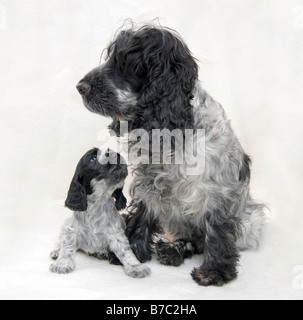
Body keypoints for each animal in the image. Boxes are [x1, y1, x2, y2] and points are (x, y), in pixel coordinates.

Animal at [50, 149, 153, 278]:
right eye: (93, 158)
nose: (116, 156)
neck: (99, 202)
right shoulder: (72, 231)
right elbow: (67, 248)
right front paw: (62, 264)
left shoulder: (116, 234)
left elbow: (126, 251)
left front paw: (136, 267)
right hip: (65, 224)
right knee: (60, 241)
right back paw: (56, 252)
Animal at [76, 24, 266, 284]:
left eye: (125, 63)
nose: (80, 87)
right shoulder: (147, 181)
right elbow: (142, 216)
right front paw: (133, 251)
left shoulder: (216, 192)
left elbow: (216, 230)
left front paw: (214, 270)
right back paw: (170, 249)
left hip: (251, 222)